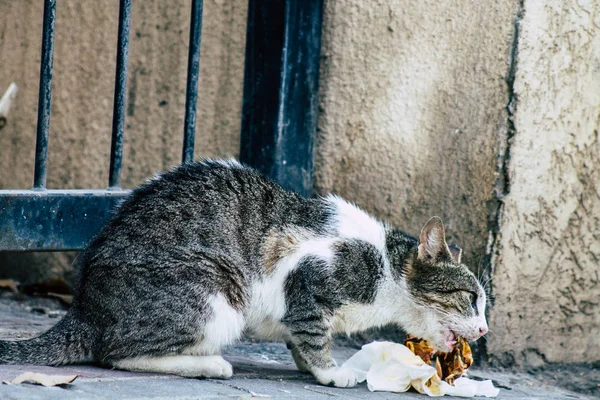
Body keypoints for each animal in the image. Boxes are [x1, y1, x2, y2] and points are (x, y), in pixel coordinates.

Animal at [0, 159, 488, 388]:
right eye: (470, 298)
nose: (483, 329)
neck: (385, 266)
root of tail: (85, 308)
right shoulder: (308, 275)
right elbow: (314, 335)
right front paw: (331, 373)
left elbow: (299, 336)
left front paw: (310, 366)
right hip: (215, 289)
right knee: (115, 352)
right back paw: (209, 363)